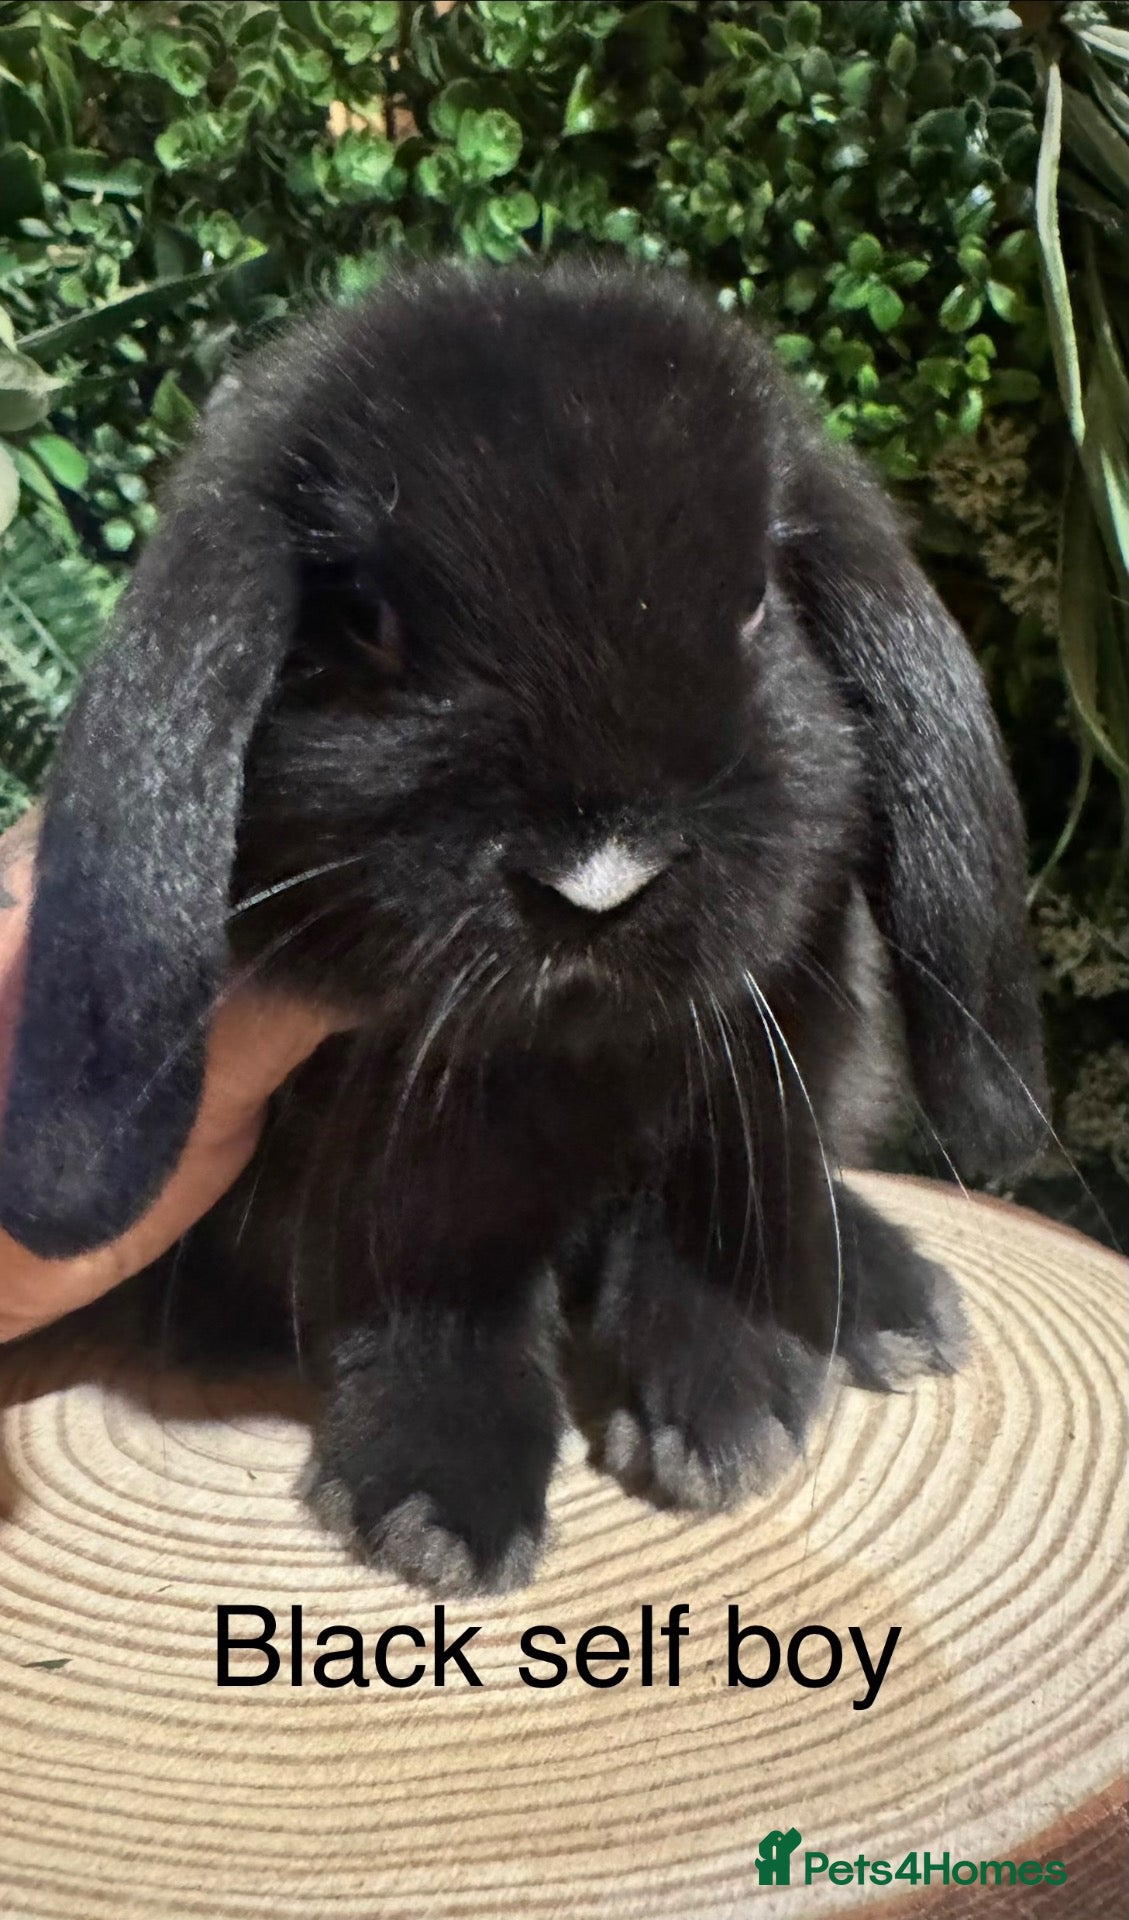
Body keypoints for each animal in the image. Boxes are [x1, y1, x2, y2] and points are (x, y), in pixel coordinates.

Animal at [0, 260, 1047, 1594]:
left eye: (757, 603)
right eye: (367, 619)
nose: (597, 880)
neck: (575, 1050)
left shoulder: (765, 1043)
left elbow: (731, 1203)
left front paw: (725, 1420)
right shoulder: (402, 1150)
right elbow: (436, 1281)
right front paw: (438, 1507)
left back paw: (896, 1305)